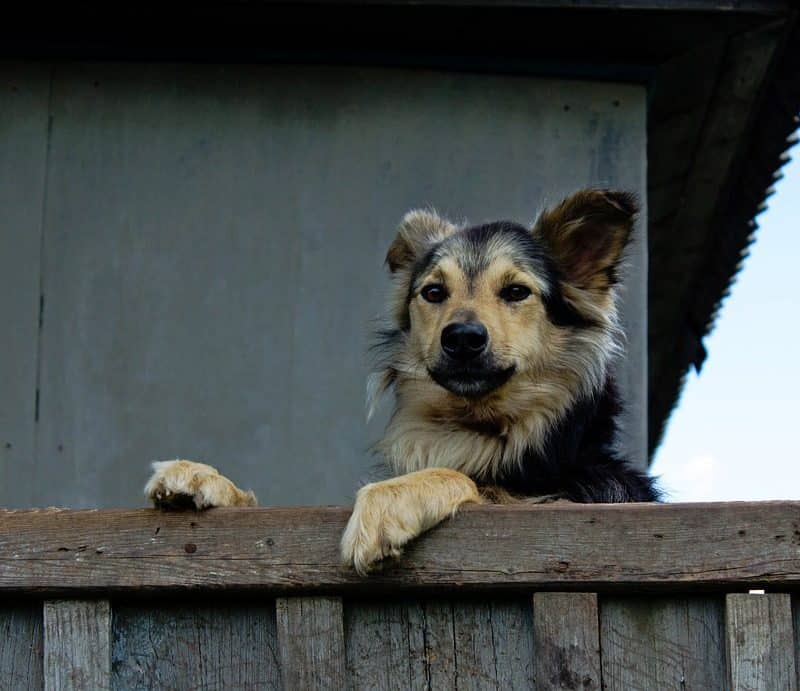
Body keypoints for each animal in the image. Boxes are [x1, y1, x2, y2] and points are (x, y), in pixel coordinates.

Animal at [144, 188, 656, 572]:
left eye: (516, 292)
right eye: (433, 292)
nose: (463, 338)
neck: (475, 427)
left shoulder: (582, 499)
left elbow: (477, 484)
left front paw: (388, 500)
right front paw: (204, 479)